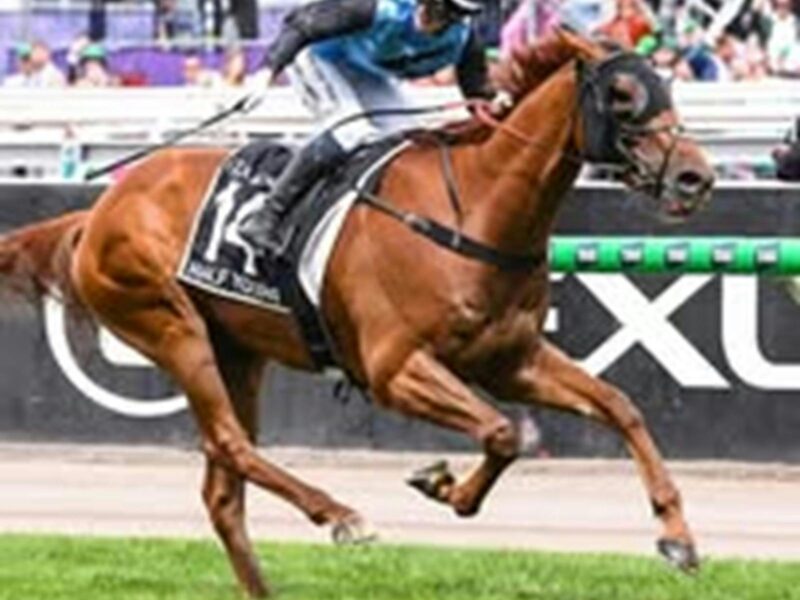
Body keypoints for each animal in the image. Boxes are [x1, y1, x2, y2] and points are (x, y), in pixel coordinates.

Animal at [0, 28, 714, 597]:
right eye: (622, 94)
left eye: (667, 83)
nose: (695, 177)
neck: (474, 211)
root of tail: (100, 207)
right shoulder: (394, 369)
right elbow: (503, 432)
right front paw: (441, 483)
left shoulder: (512, 360)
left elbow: (618, 406)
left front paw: (677, 536)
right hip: (170, 325)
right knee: (228, 442)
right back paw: (341, 515)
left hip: (238, 350)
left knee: (223, 490)